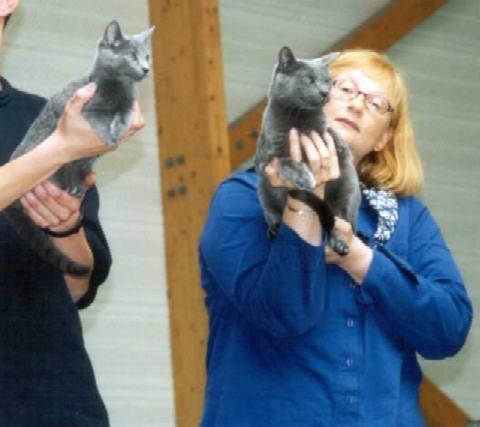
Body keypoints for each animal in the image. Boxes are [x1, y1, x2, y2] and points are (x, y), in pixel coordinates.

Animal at [3, 20, 154, 276]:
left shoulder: (128, 105)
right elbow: (100, 121)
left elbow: (123, 116)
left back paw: (76, 187)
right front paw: (109, 137)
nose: (146, 69)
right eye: (132, 56)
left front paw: (118, 130)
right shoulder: (88, 110)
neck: (117, 87)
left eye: (148, 56)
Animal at [255, 46, 361, 255]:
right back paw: (274, 230)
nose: (325, 91)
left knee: (339, 221)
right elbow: (287, 162)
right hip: (264, 191)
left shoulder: (329, 138)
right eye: (308, 79)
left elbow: (336, 142)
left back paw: (339, 243)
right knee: (274, 215)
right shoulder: (270, 157)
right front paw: (305, 178)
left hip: (347, 189)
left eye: (328, 80)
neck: (300, 116)